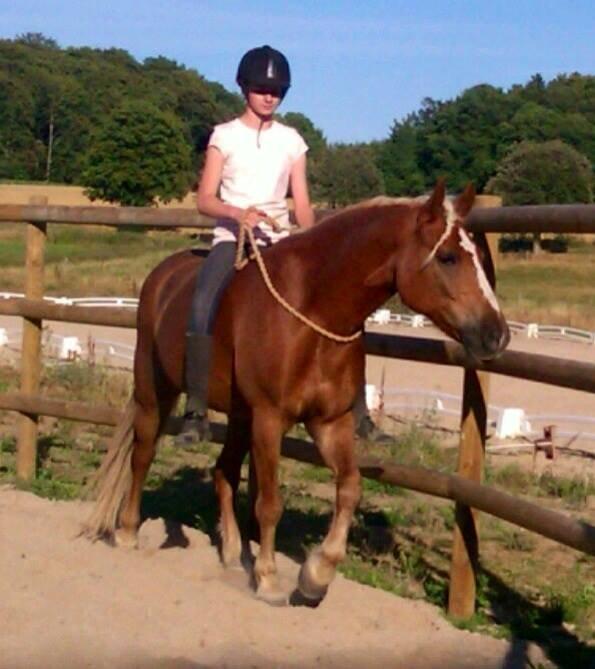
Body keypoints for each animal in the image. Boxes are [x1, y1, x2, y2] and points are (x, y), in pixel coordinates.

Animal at [86, 181, 510, 604]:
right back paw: (128, 531)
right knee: (142, 454)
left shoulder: (330, 422)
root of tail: (163, 275)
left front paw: (315, 576)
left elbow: (349, 488)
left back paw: (231, 551)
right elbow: (270, 504)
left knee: (223, 471)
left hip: (239, 415)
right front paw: (269, 578)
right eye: (448, 257)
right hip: (153, 388)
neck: (312, 311)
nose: (497, 335)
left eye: (477, 256)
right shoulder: (270, 419)